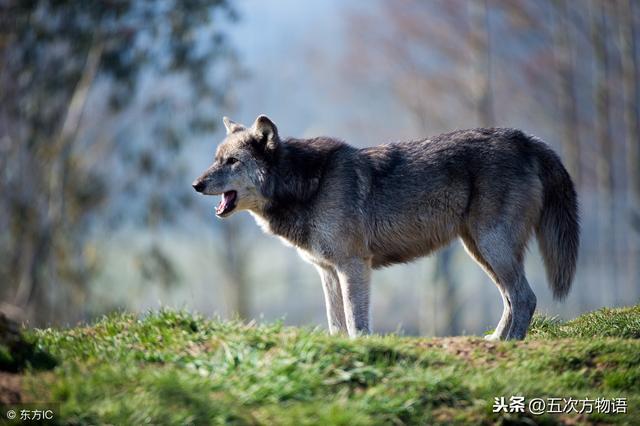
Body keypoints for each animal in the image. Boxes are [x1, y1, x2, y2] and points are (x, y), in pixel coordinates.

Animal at [191, 115, 580, 342]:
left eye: (232, 161)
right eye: (215, 158)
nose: (195, 184)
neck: (307, 185)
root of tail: (527, 139)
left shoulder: (353, 266)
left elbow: (355, 321)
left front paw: (360, 349)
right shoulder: (327, 271)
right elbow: (336, 323)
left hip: (492, 247)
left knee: (525, 297)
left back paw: (511, 344)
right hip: (480, 250)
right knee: (511, 299)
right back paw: (494, 341)